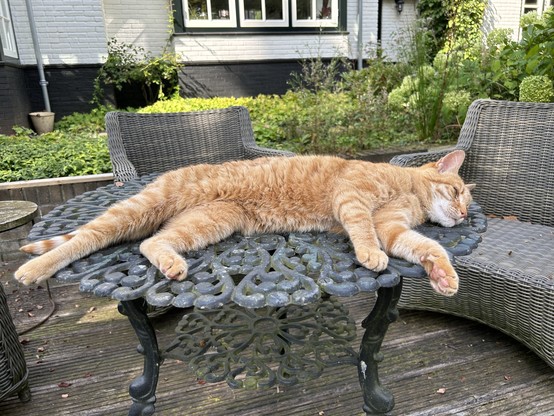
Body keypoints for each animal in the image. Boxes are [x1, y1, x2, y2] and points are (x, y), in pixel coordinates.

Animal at [14, 150, 470, 296]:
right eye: (458, 191)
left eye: (467, 199)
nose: (466, 213)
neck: (408, 190)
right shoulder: (352, 196)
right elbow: (364, 231)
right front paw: (371, 254)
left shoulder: (392, 226)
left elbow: (427, 246)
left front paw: (442, 275)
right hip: (140, 209)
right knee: (88, 237)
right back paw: (31, 269)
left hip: (209, 221)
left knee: (151, 243)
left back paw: (171, 263)